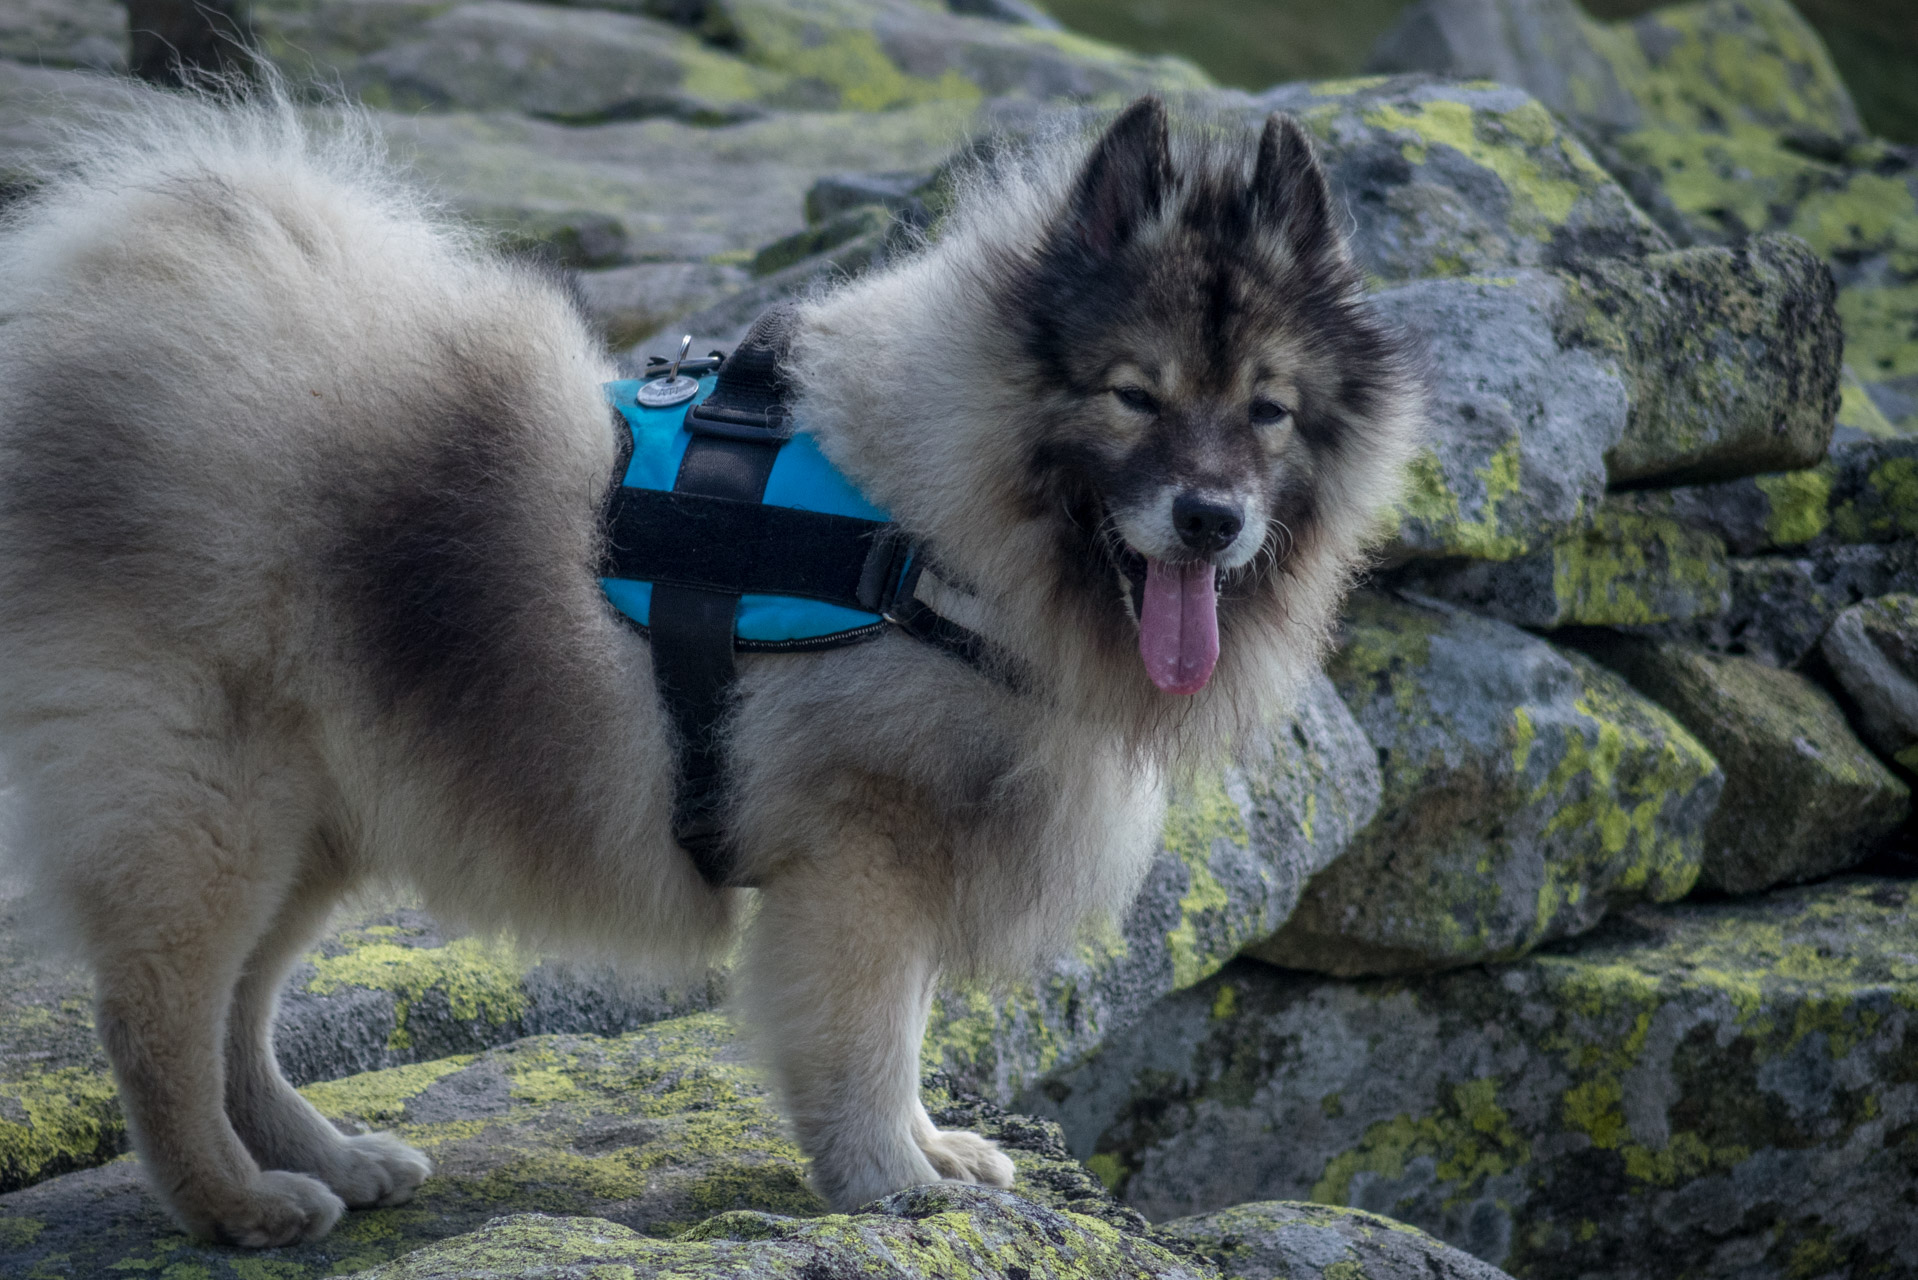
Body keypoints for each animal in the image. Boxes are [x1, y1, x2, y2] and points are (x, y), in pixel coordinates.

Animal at [0, 84, 1426, 1243]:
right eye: (1134, 394)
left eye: (1269, 411)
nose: (1210, 518)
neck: (931, 527)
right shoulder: (856, 858)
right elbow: (864, 1035)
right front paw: (885, 1179)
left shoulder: (900, 859)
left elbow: (906, 1027)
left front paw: (932, 1154)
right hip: (211, 810)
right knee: (160, 1020)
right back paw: (232, 1201)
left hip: (311, 822)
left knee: (240, 1014)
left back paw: (324, 1157)